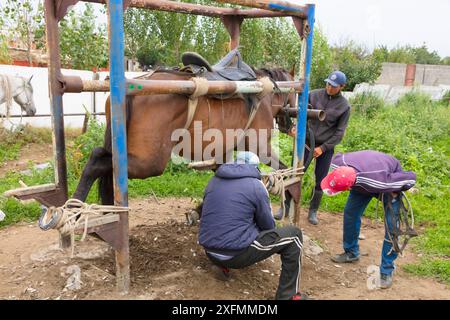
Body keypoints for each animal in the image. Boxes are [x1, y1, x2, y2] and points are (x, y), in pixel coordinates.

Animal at [72, 67, 298, 205]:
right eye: (295, 94)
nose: (289, 125)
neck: (263, 96)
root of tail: (130, 88)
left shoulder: (222, 154)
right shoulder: (261, 148)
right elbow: (284, 170)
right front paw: (288, 194)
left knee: (101, 158)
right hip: (150, 163)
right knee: (99, 162)